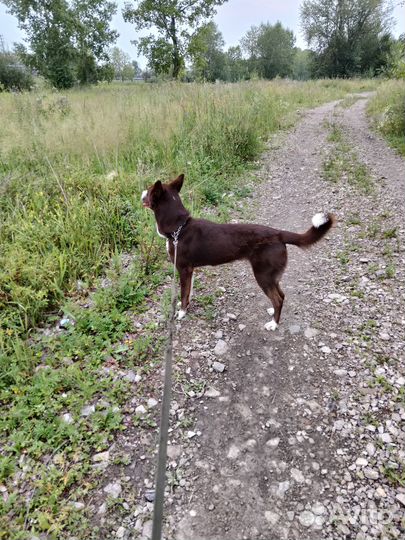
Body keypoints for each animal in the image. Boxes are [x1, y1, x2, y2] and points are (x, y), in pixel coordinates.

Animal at [142, 175, 334, 332]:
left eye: (149, 191)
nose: (141, 191)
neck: (179, 228)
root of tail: (278, 234)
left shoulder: (182, 269)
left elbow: (183, 293)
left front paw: (181, 313)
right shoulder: (190, 270)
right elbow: (188, 291)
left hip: (263, 274)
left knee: (278, 298)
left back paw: (274, 324)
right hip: (272, 275)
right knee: (281, 295)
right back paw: (273, 312)